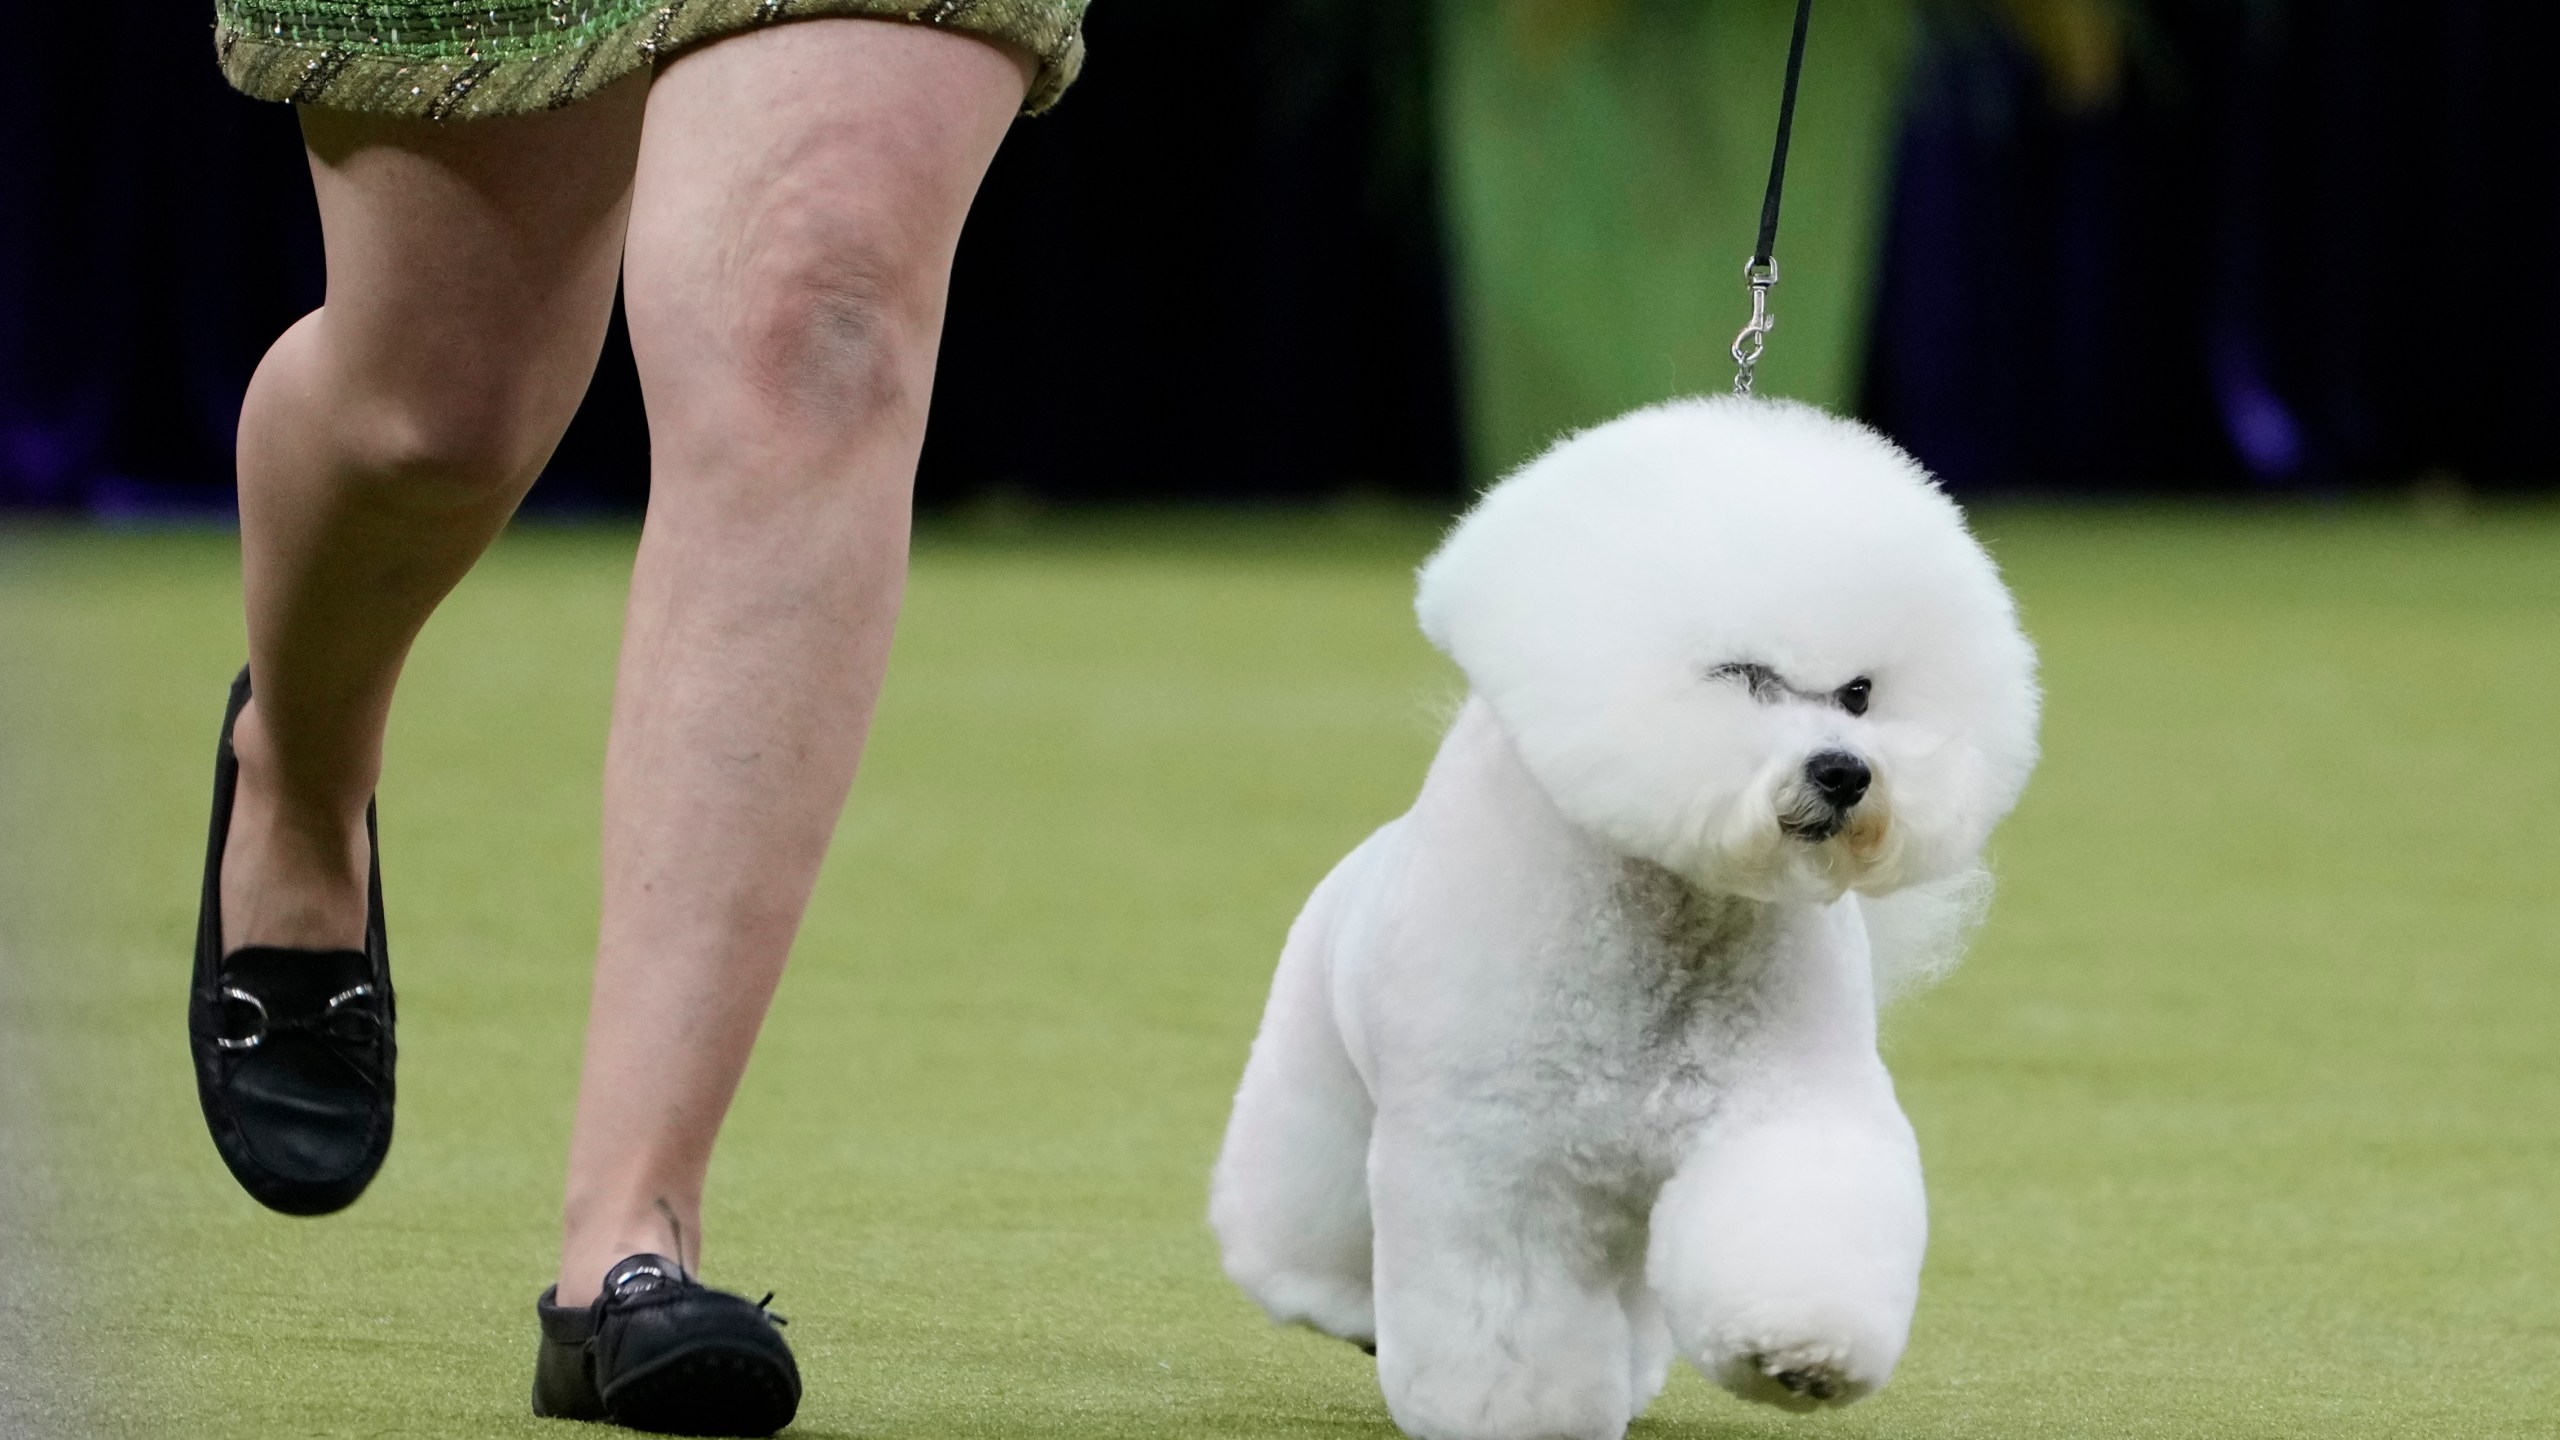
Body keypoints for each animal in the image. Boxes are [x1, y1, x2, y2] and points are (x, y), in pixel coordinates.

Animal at [1203, 392, 2037, 1434]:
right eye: (1743, 675)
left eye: (1859, 693)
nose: (1845, 773)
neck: (1676, 920)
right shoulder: (1499, 1157)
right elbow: (1507, 1314)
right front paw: (1516, 1417)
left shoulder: (1783, 1110)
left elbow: (1793, 1220)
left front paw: (1800, 1353)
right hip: (1319, 1090)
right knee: (1304, 1221)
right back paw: (1335, 1302)